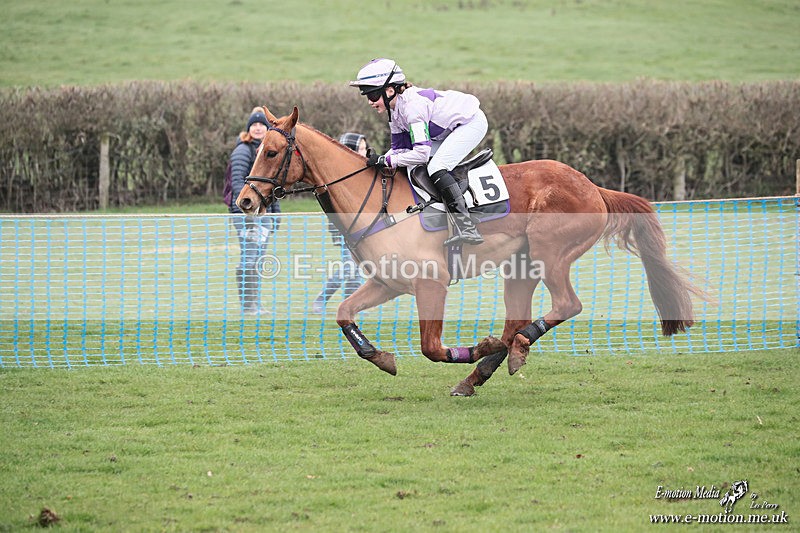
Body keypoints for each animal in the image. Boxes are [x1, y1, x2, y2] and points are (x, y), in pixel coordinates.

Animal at [236, 105, 704, 396]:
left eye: (272, 151)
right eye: (257, 150)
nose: (245, 201)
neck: (376, 203)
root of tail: (594, 188)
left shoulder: (431, 284)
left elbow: (431, 347)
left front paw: (474, 348)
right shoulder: (388, 283)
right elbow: (343, 313)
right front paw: (381, 357)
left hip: (551, 254)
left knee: (565, 305)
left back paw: (507, 350)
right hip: (521, 266)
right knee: (516, 320)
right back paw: (486, 368)